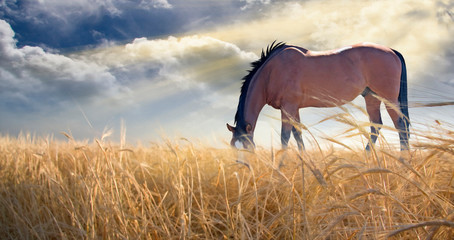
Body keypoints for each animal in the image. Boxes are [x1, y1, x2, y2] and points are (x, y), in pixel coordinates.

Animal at [225, 40, 410, 151]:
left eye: (247, 147)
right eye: (233, 146)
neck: (272, 72)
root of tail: (391, 50)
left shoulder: (287, 107)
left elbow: (285, 136)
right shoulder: (294, 108)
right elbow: (297, 134)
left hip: (388, 98)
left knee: (401, 125)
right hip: (371, 97)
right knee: (376, 126)